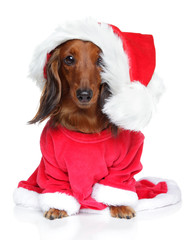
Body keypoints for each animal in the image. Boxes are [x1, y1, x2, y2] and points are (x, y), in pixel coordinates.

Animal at [29, 39, 136, 219]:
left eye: (101, 60)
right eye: (69, 59)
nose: (84, 95)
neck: (85, 122)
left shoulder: (124, 161)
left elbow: (116, 183)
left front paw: (120, 205)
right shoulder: (52, 163)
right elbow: (58, 188)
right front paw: (57, 207)